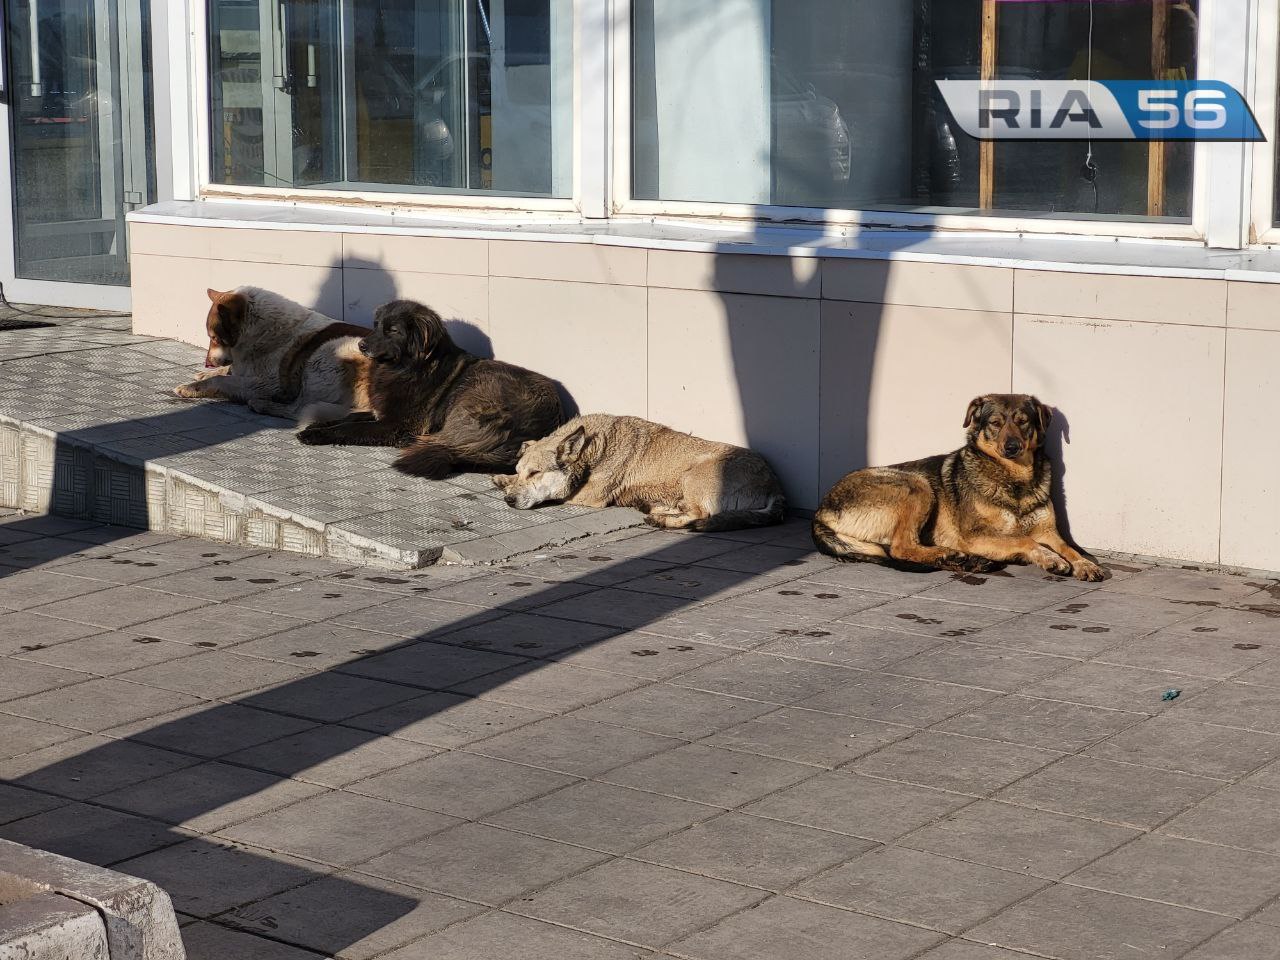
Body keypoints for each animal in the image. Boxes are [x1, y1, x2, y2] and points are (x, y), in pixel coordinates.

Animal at [172, 285, 371, 419]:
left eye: (214, 338)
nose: (208, 363)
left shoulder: (270, 383)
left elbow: (223, 379)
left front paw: (192, 387)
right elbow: (228, 371)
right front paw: (205, 374)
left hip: (328, 352)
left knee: (301, 408)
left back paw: (263, 404)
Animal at [299, 300, 565, 481]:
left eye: (393, 330)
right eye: (377, 326)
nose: (362, 345)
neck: (408, 367)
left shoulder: (397, 425)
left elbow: (351, 428)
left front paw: (316, 435)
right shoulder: (381, 412)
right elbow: (349, 417)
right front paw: (317, 425)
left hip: (473, 398)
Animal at [491, 414, 783, 535]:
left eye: (536, 473)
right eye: (521, 471)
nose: (508, 501)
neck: (594, 448)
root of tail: (776, 485)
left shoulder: (591, 495)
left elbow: (559, 495)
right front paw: (503, 480)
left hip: (694, 475)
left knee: (702, 515)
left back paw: (661, 519)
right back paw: (654, 508)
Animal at [808, 394, 1100, 583]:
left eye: (1023, 421)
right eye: (995, 423)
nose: (1012, 447)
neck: (1014, 479)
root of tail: (820, 510)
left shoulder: (1049, 532)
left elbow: (1069, 548)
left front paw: (1084, 563)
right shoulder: (975, 535)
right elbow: (1024, 539)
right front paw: (1050, 558)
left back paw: (969, 561)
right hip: (917, 485)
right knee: (902, 547)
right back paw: (949, 553)